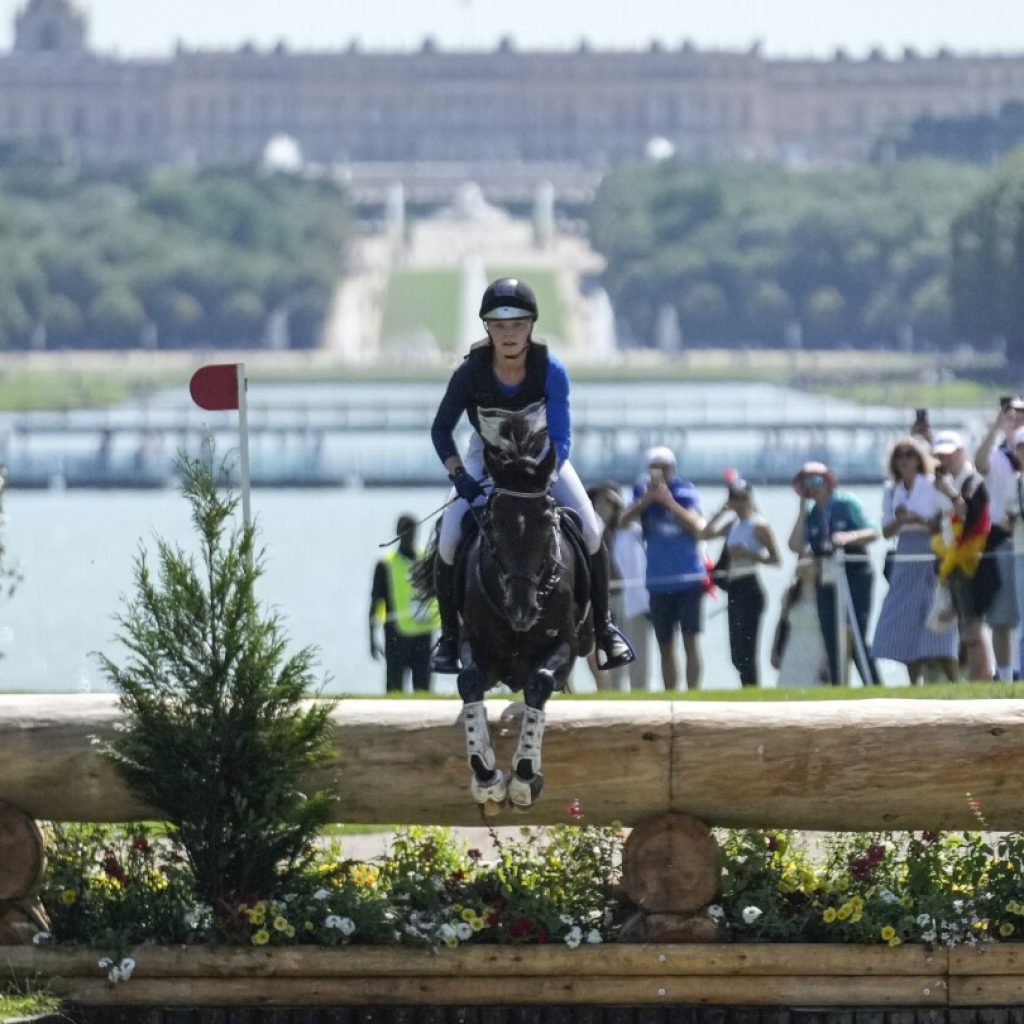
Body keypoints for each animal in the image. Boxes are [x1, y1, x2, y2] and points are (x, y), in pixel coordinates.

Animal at [415, 419, 593, 811]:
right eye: (494, 522)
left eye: (546, 521)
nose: (522, 611)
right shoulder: (479, 648)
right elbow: (468, 683)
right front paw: (486, 774)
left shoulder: (565, 647)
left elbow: (540, 682)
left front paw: (525, 776)